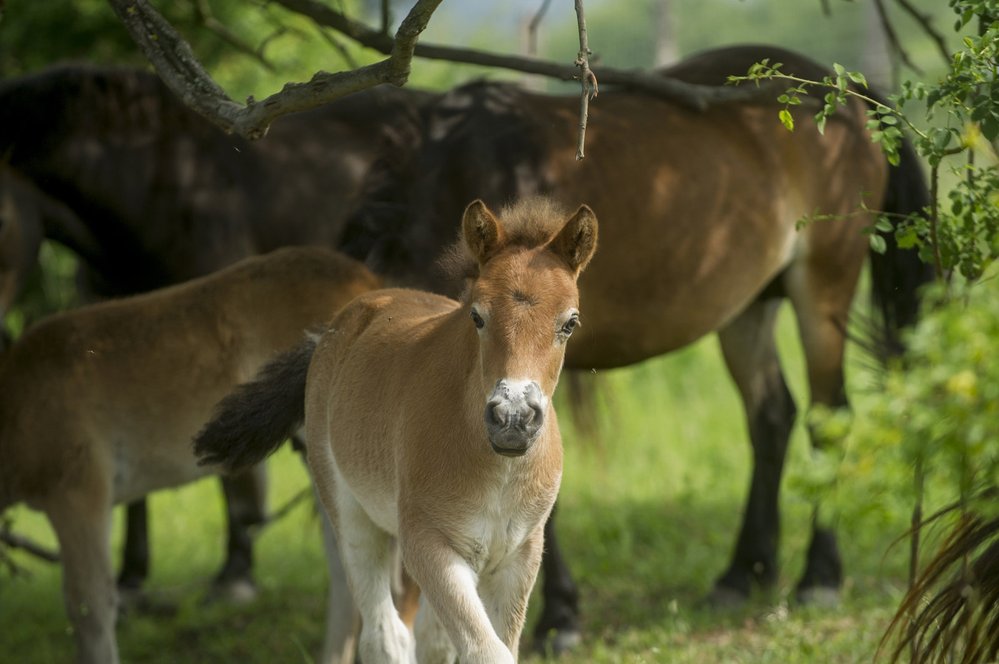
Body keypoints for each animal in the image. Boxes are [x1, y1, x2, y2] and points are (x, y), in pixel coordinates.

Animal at [199, 198, 596, 664]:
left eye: (570, 323)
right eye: (477, 316)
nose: (513, 419)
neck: (497, 470)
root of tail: (339, 323)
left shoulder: (520, 556)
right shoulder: (429, 544)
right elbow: (486, 651)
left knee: (427, 639)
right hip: (353, 518)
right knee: (385, 635)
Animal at [346, 44, 936, 652]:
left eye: (570, 323)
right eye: (476, 316)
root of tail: (849, 94)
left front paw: (561, 616)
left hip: (823, 290)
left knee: (828, 416)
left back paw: (820, 577)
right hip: (748, 310)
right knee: (773, 416)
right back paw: (743, 573)